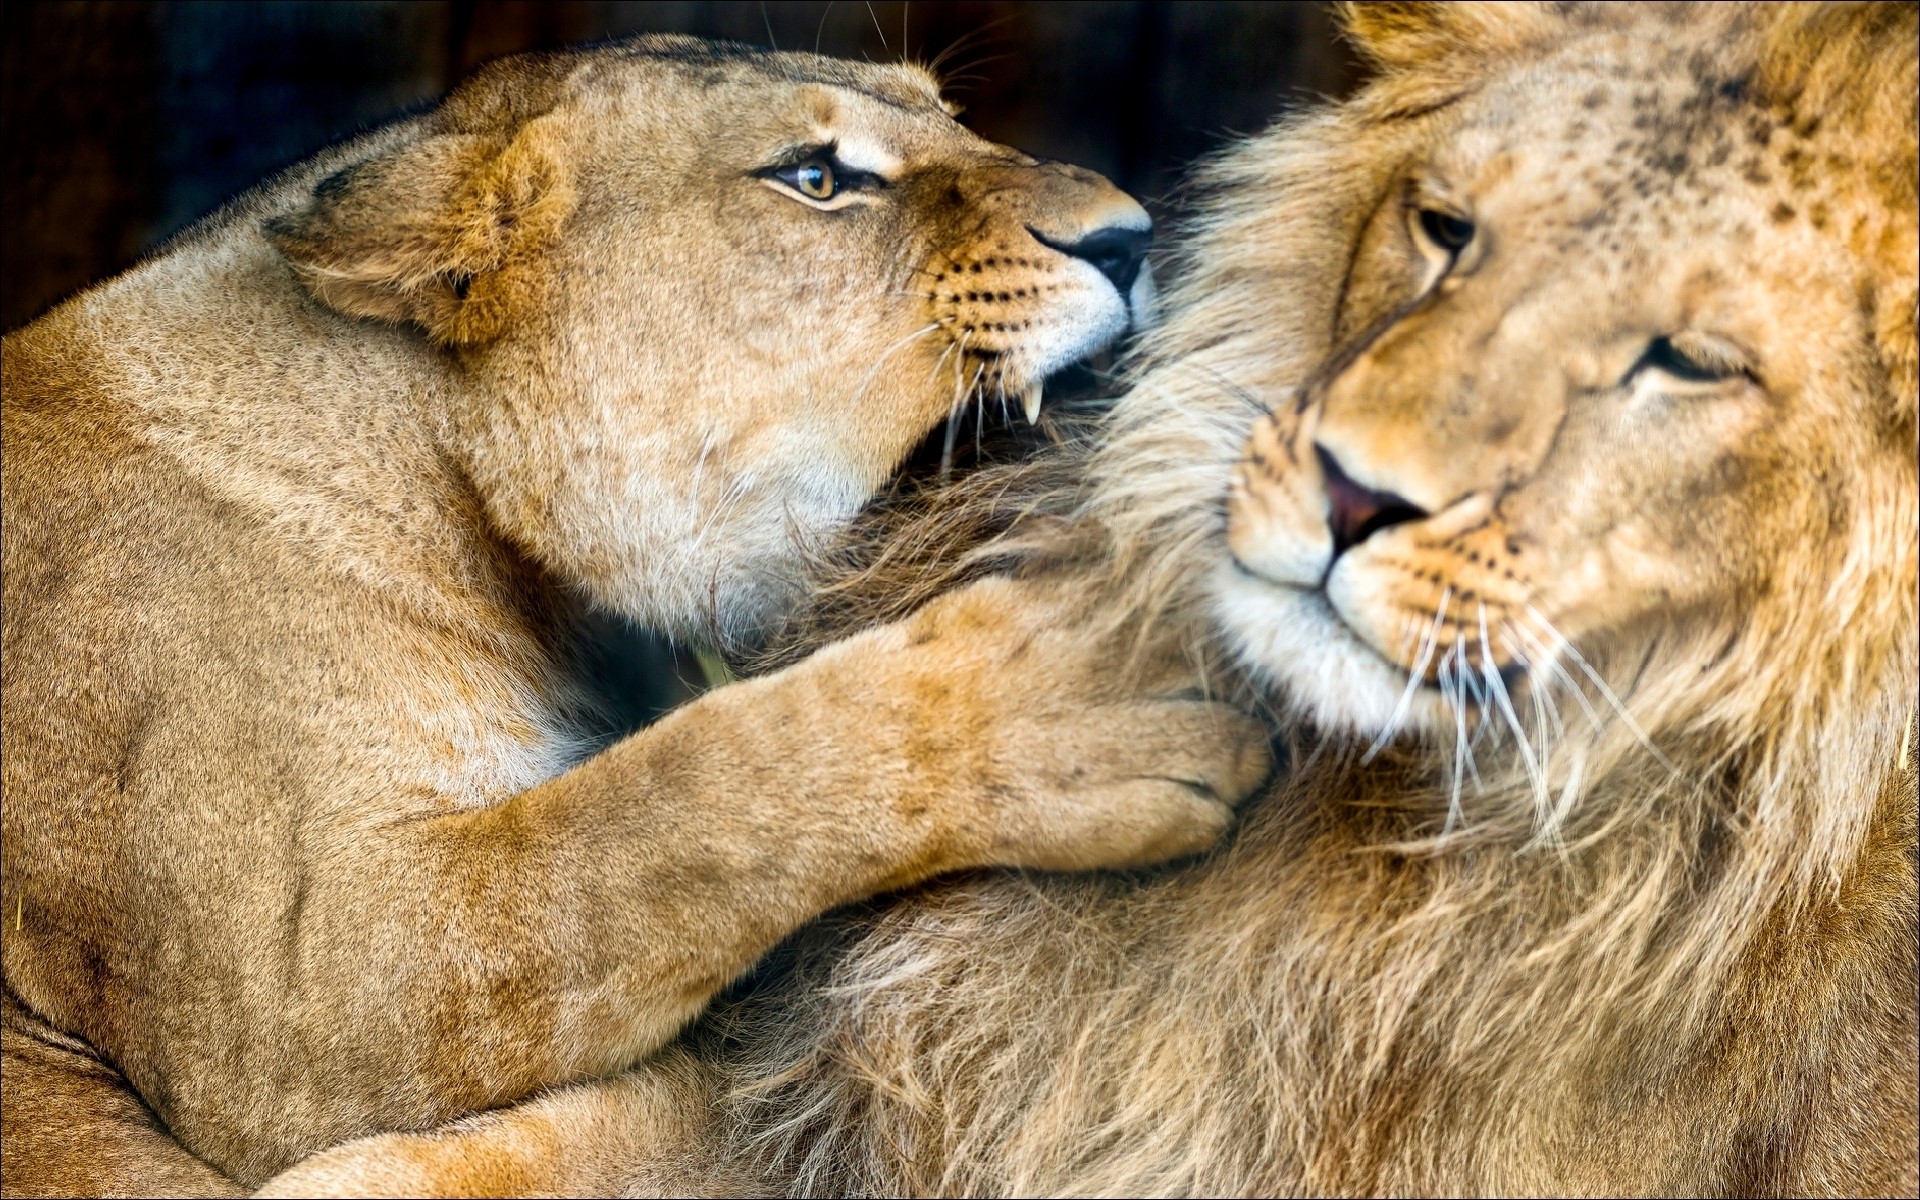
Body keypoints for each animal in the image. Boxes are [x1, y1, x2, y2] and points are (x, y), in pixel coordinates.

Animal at [0, 36, 1276, 1196]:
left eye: (950, 118)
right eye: (818, 179)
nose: (1133, 237)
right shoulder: (290, 1010)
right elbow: (661, 815)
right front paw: (1087, 688)